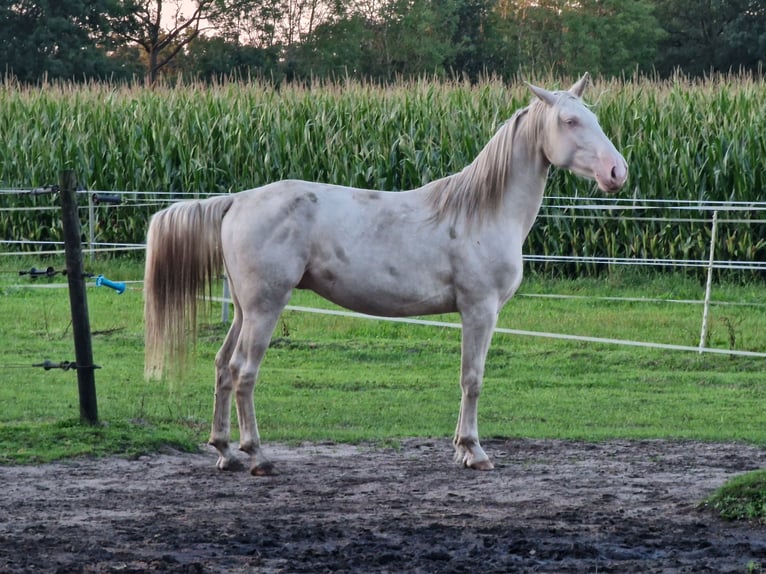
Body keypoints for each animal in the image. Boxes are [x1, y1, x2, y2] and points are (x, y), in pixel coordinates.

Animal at [144, 75, 632, 476]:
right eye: (570, 120)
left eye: (594, 117)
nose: (617, 172)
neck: (483, 211)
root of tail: (238, 200)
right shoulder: (480, 310)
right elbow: (472, 379)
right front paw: (474, 450)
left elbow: (465, 378)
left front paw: (460, 448)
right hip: (265, 308)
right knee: (244, 372)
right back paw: (257, 456)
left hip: (245, 310)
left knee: (223, 367)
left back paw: (225, 451)